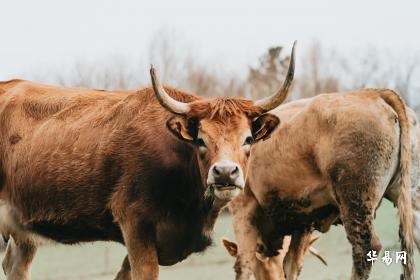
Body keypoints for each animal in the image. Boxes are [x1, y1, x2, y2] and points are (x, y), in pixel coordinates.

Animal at [228, 90, 418, 280]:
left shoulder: (243, 209)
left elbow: (244, 265)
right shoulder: (303, 221)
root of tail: (372, 93)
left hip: (355, 202)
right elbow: (291, 264)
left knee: (365, 248)